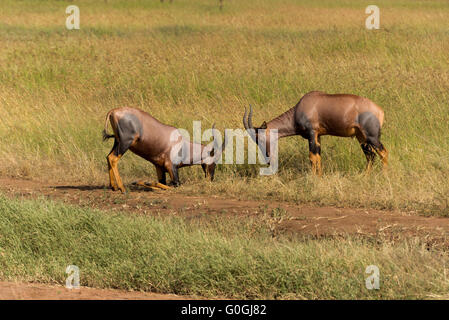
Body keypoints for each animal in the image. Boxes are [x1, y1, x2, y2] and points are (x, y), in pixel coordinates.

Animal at [243, 90, 386, 175]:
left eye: (260, 138)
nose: (268, 159)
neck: (301, 107)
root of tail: (379, 110)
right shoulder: (318, 136)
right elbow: (318, 157)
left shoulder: (311, 134)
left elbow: (312, 157)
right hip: (360, 137)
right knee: (370, 156)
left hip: (372, 137)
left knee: (383, 152)